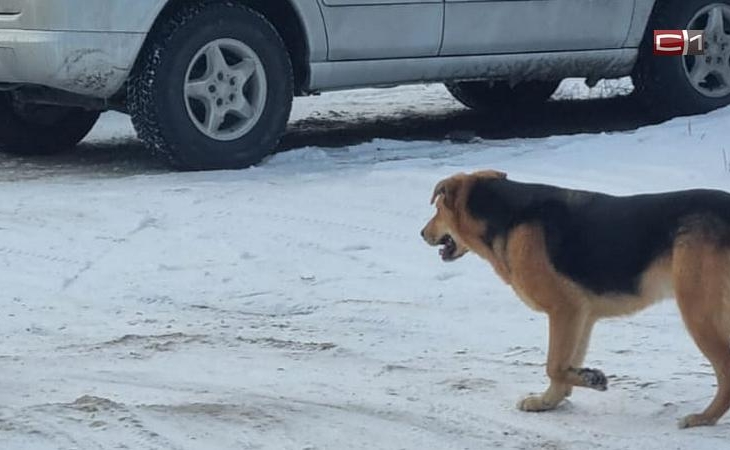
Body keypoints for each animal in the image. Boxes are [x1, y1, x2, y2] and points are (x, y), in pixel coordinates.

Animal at [418, 170, 728, 428]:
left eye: (437, 209)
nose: (422, 233)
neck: (507, 216)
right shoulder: (582, 317)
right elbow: (562, 367)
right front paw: (549, 401)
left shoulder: (564, 311)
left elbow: (553, 366)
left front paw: (590, 378)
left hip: (698, 315)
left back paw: (704, 418)